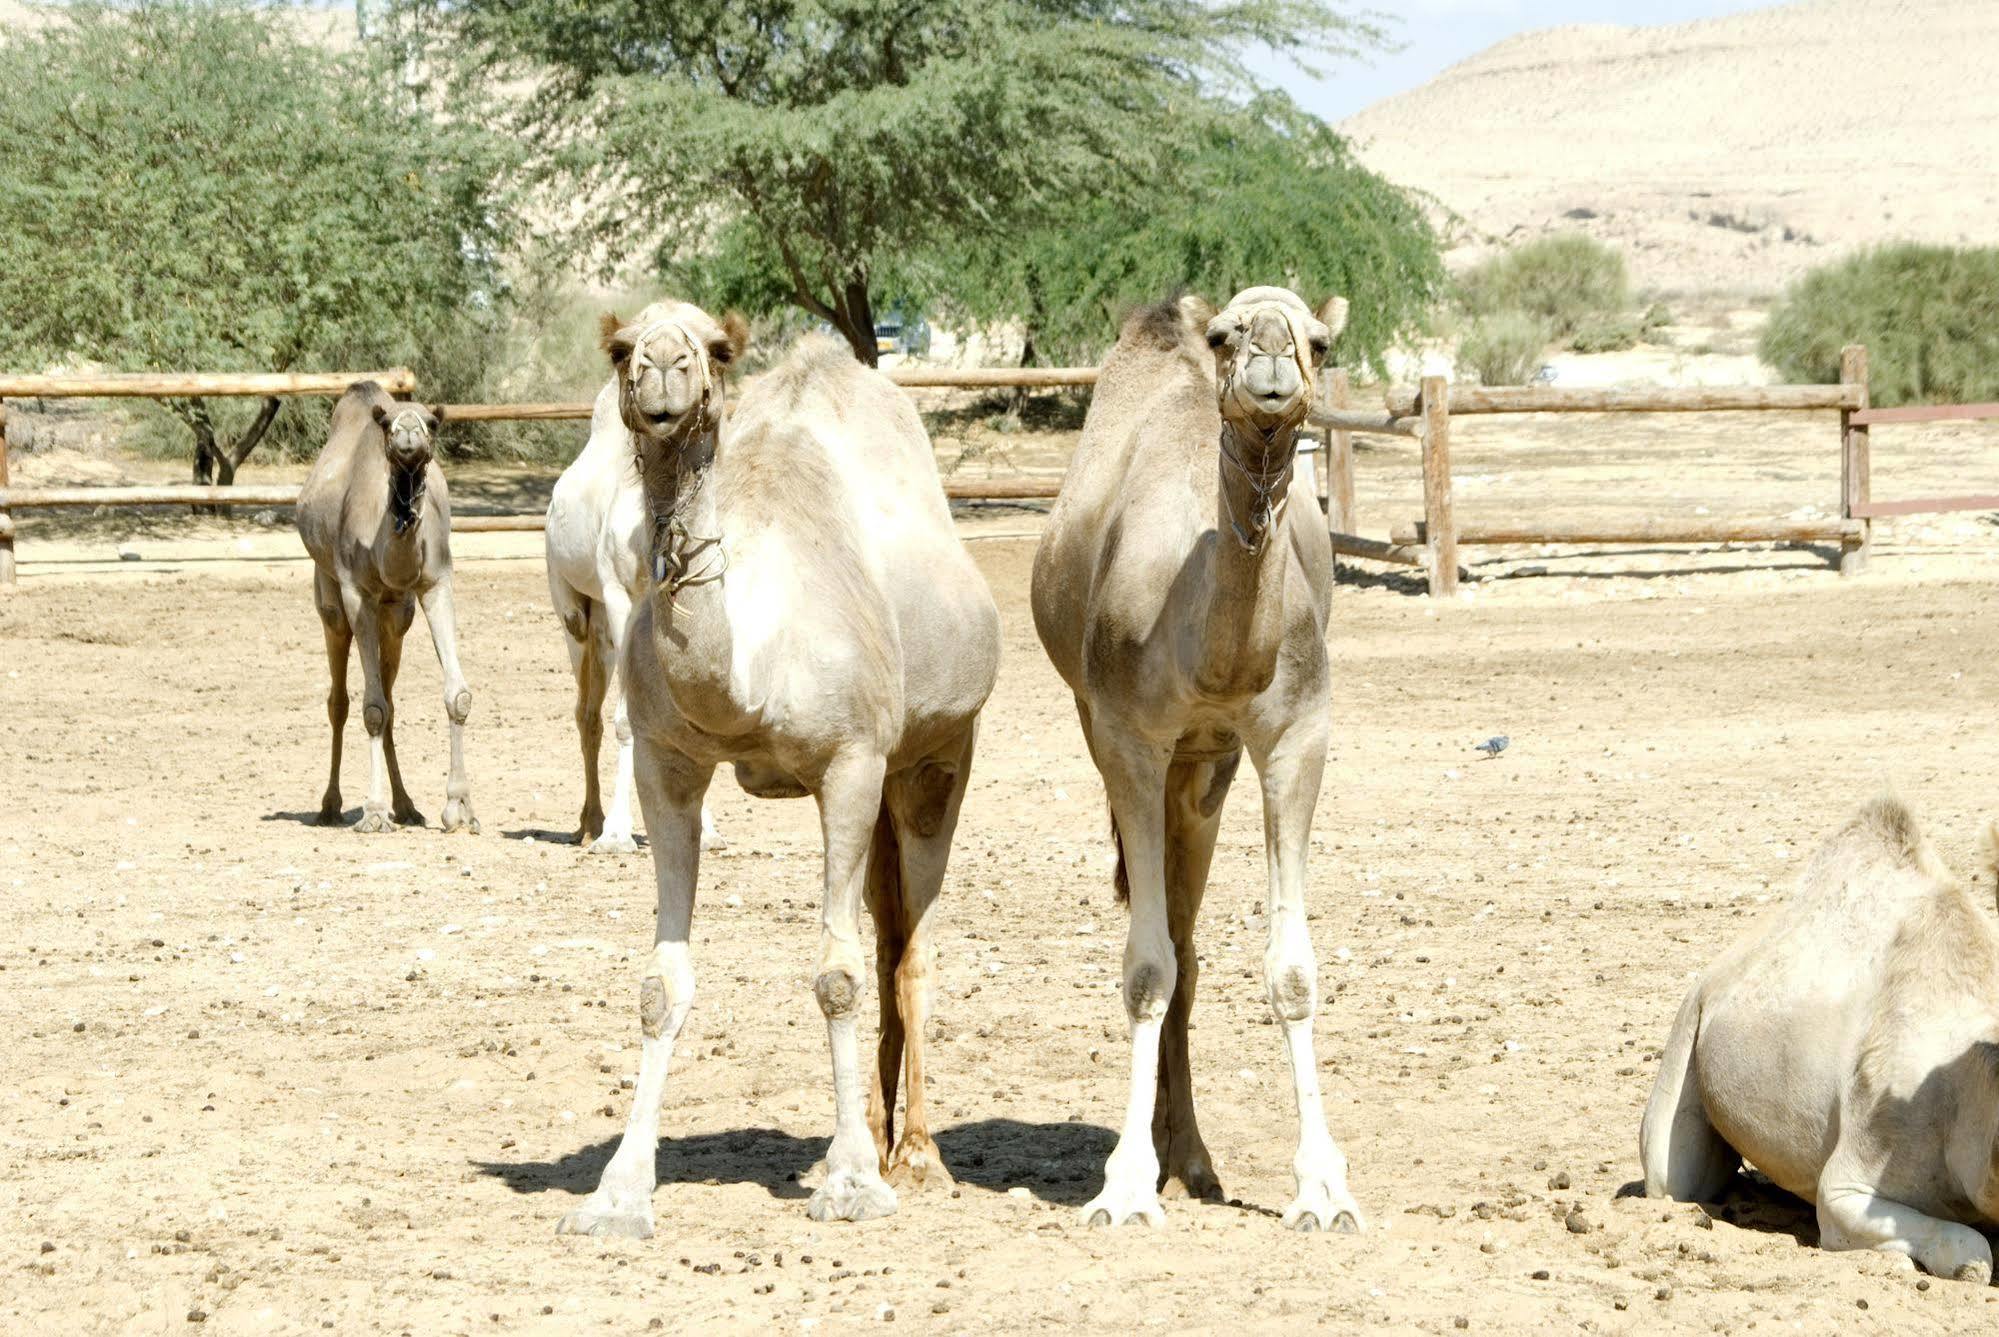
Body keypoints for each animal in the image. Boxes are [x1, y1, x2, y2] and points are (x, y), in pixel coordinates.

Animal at [293, 377, 477, 835]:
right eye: (387, 423)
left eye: (432, 421)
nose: (407, 431)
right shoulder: (356, 591)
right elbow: (372, 708)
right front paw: (373, 812)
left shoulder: (436, 582)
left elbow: (457, 696)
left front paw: (460, 808)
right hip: (331, 600)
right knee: (339, 701)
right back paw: (330, 806)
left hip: (396, 616)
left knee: (390, 697)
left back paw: (407, 806)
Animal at [547, 375, 727, 855]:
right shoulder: (620, 597)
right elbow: (627, 720)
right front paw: (617, 834)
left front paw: (707, 831)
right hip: (578, 617)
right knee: (586, 713)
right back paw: (592, 823)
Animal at [1031, 289, 1359, 1231]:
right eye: (1223, 335)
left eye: (1319, 339)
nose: (1271, 357)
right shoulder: (1128, 739)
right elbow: (1145, 969)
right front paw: (1123, 1186)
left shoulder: (1294, 736)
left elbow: (1290, 968)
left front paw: (1322, 1187)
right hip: (1119, 738)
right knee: (1167, 947)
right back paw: (1165, 1157)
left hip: (1207, 770)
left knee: (1187, 941)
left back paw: (1194, 1159)